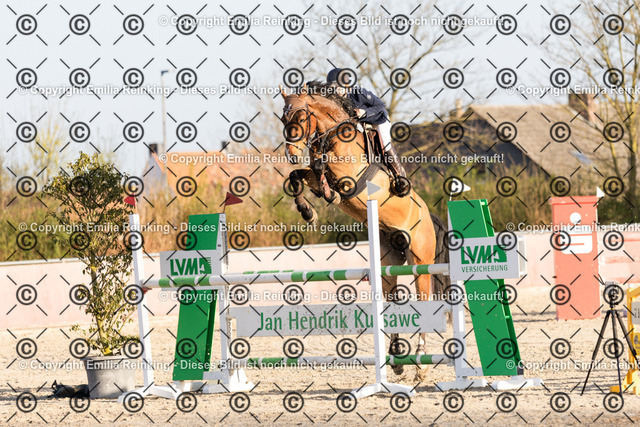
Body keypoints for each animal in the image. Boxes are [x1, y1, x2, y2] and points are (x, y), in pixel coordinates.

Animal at [279, 81, 449, 382]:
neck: (333, 134)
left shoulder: (347, 176)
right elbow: (298, 176)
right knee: (391, 300)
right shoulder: (312, 173)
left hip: (421, 263)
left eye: (300, 116)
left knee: (424, 301)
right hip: (387, 264)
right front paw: (308, 211)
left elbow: (321, 169)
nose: (292, 153)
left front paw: (327, 195)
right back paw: (397, 360)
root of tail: (429, 217)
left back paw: (420, 365)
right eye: (282, 119)